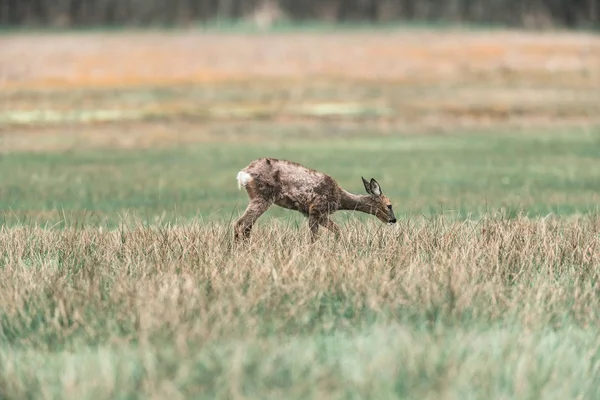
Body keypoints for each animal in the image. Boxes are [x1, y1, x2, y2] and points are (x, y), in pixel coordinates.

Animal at [236, 158, 398, 242]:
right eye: (389, 205)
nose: (393, 220)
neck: (340, 199)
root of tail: (243, 173)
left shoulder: (314, 213)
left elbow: (338, 230)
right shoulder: (316, 208)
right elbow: (314, 236)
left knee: (247, 226)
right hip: (263, 196)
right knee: (241, 224)